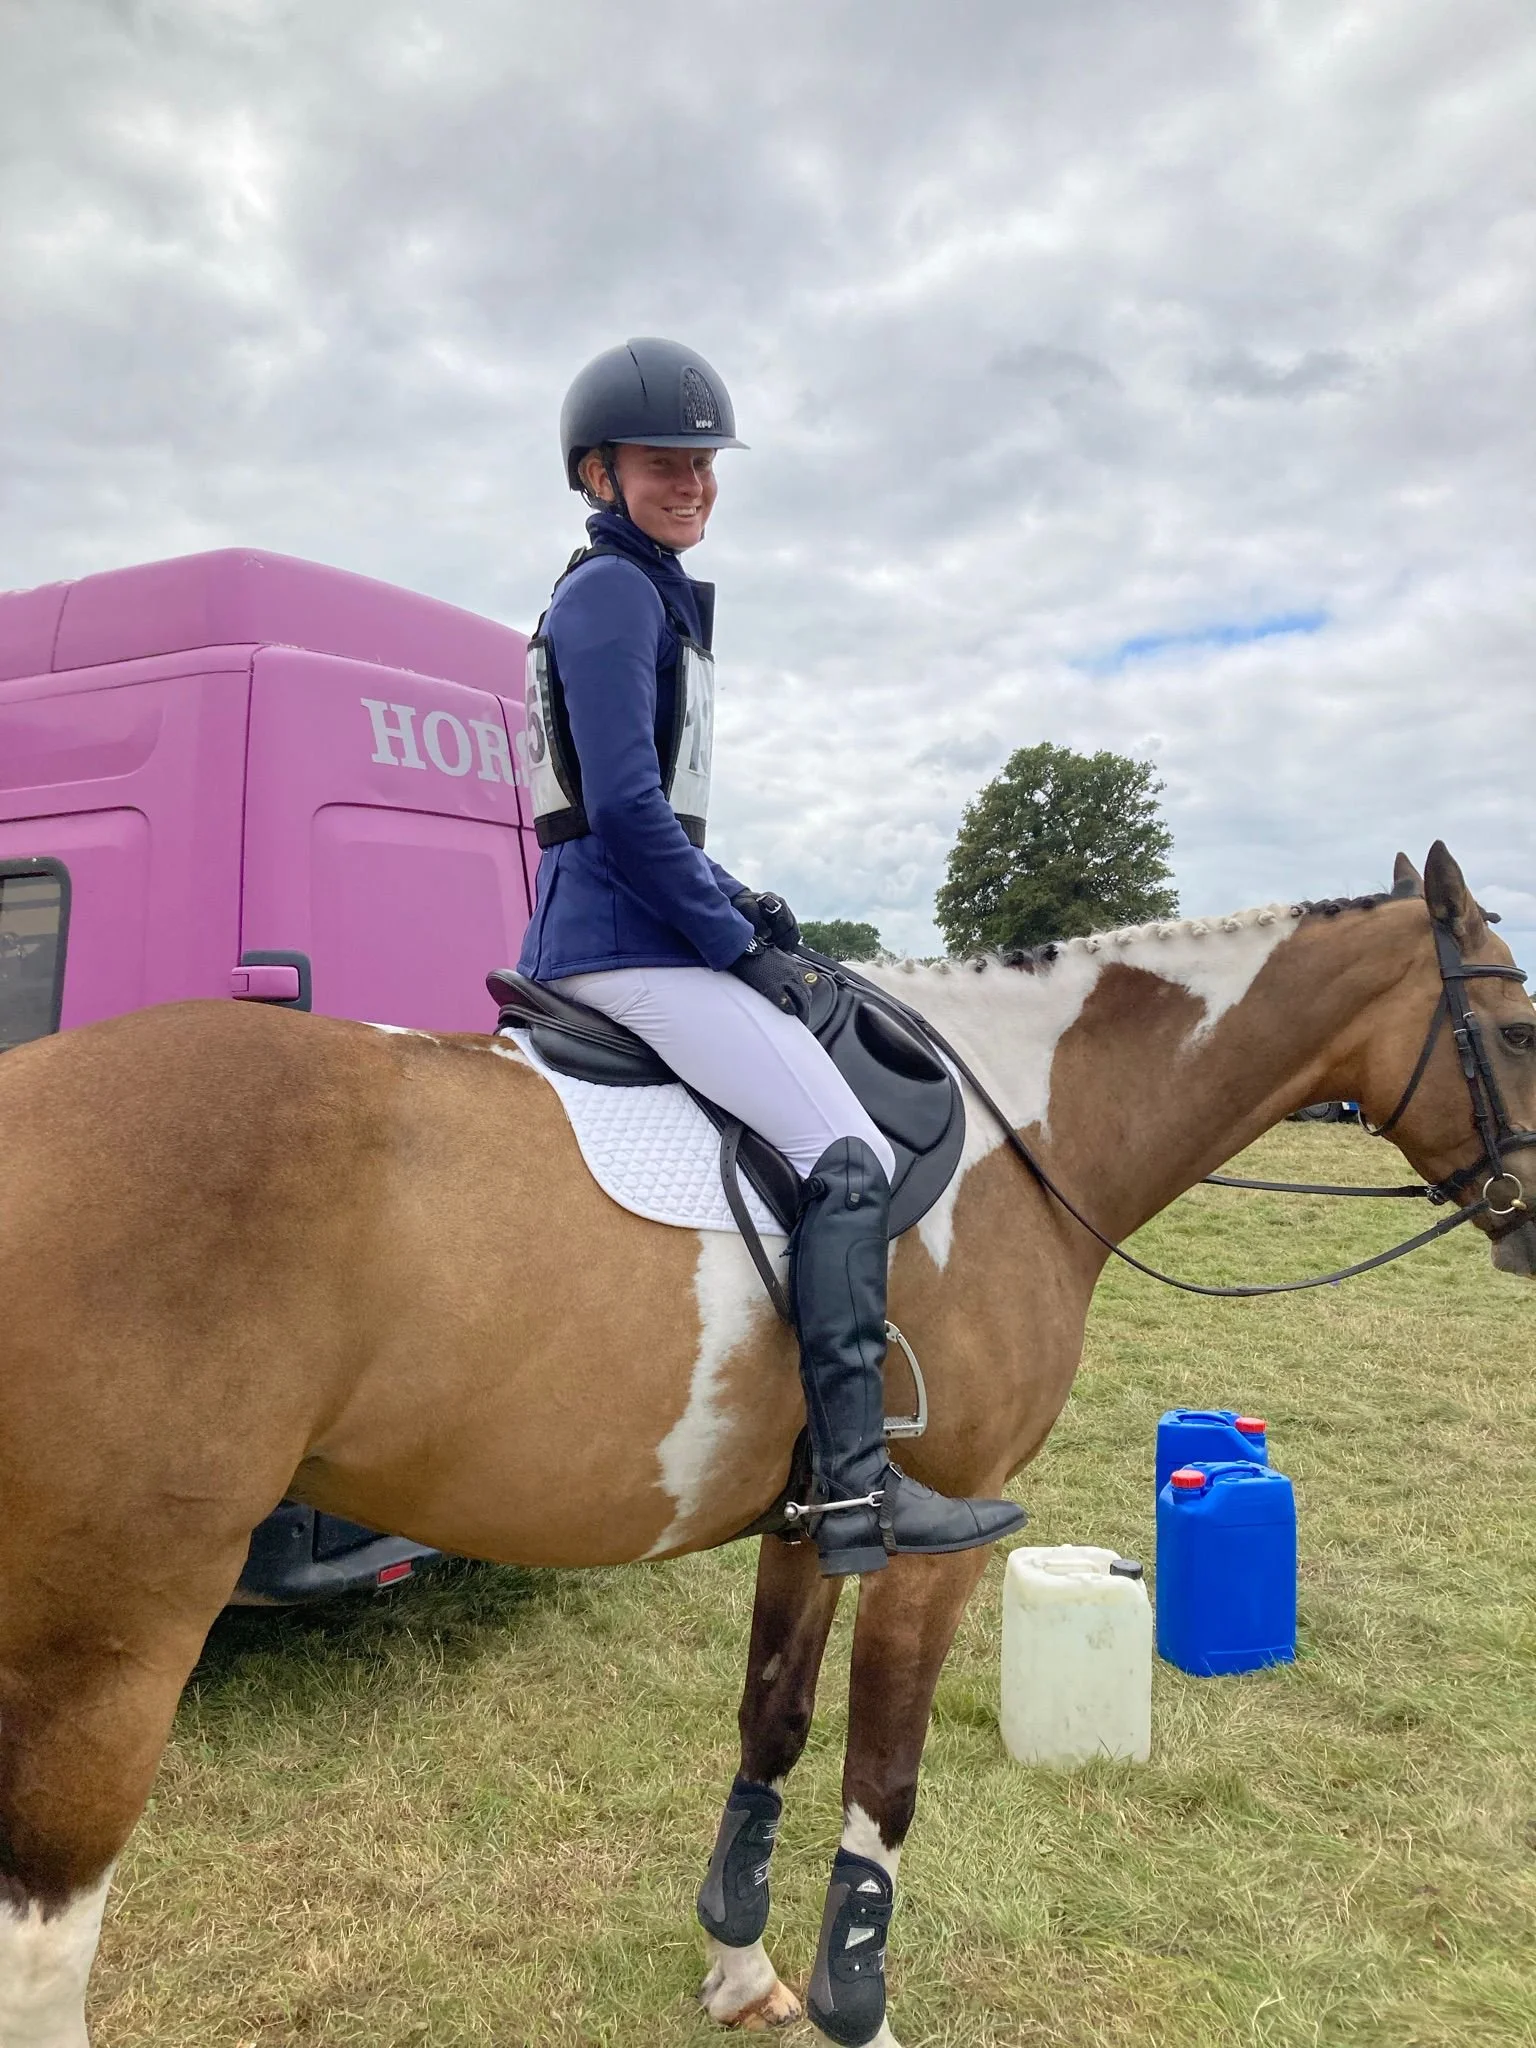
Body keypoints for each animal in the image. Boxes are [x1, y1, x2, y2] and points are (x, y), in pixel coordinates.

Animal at [0, 841, 1531, 2048]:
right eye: (1518, 1028)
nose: (1530, 1224)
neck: (1025, 1122)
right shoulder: (944, 1529)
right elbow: (883, 1772)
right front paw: (862, 2009)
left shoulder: (814, 1520)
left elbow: (775, 1728)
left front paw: (741, 1972)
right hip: (112, 1636)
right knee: (46, 1944)